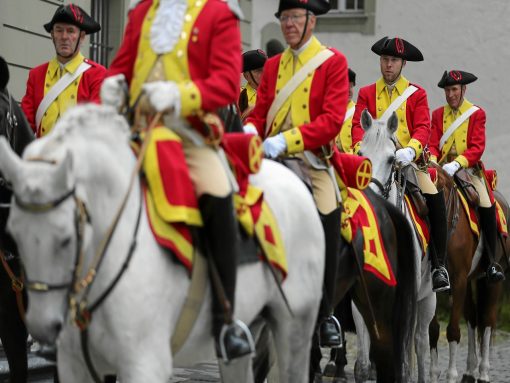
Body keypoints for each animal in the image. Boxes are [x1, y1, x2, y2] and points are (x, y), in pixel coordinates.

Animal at [0, 105, 326, 383]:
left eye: (66, 238)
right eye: (14, 233)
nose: (43, 329)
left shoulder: (144, 364)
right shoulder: (75, 367)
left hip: (296, 325)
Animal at [354, 109, 434, 382]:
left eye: (391, 159)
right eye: (360, 154)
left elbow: (406, 361)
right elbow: (365, 362)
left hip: (428, 298)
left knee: (420, 346)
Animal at [428, 164, 508, 383]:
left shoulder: (459, 281)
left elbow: (453, 331)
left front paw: (451, 375)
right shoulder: (435, 284)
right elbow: (433, 330)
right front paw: (434, 374)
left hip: (493, 281)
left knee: (487, 320)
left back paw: (483, 373)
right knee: (472, 318)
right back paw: (469, 371)